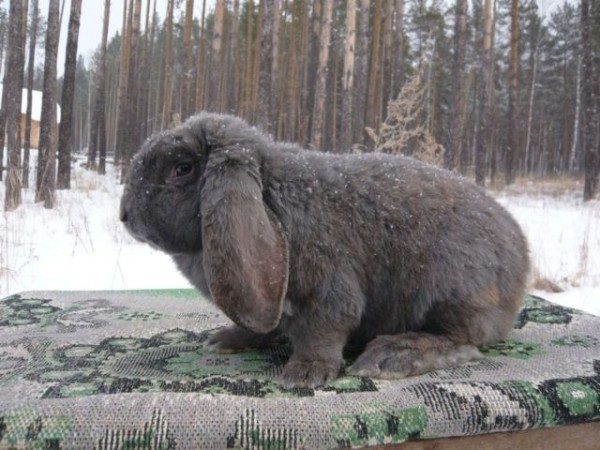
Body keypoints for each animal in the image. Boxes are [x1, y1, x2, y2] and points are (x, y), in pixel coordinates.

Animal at [120, 111, 528, 386]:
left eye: (182, 168)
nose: (124, 214)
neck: (271, 195)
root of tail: (522, 257)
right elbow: (263, 326)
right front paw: (226, 340)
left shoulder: (327, 290)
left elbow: (325, 331)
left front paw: (304, 374)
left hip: (451, 292)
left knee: (463, 341)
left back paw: (391, 356)